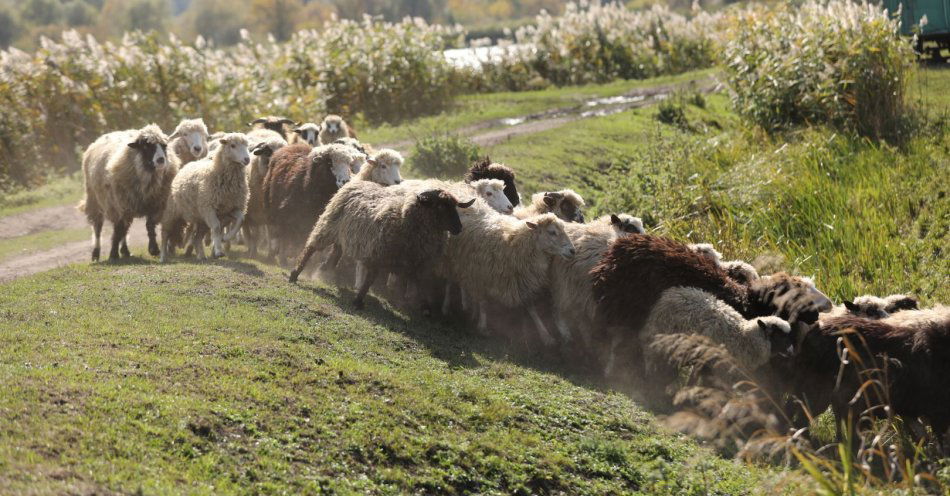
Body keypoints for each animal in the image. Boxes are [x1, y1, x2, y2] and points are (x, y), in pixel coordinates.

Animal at [79, 124, 171, 262]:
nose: (161, 160)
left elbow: (149, 226)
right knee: (98, 228)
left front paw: (154, 249)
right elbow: (118, 230)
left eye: (164, 145)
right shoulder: (119, 205)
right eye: (146, 146)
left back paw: (125, 251)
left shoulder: (154, 204)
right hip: (95, 200)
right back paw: (96, 253)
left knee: (125, 229)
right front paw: (113, 255)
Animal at [160, 134, 251, 262]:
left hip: (202, 220)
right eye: (232, 145)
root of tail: (185, 165)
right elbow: (217, 227)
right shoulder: (209, 207)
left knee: (197, 238)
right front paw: (218, 251)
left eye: (247, 145)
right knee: (165, 233)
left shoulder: (230, 208)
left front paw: (225, 238)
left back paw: (202, 256)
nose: (247, 159)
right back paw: (163, 256)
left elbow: (240, 220)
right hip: (171, 212)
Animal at [286, 180, 472, 308]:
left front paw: (423, 307)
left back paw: (326, 269)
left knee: (337, 250)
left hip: (344, 234)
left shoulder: (417, 265)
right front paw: (358, 301)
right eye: (440, 206)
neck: (404, 218)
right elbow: (370, 279)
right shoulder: (377, 254)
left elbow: (418, 286)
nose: (459, 228)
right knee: (311, 248)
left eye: (455, 207)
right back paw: (295, 273)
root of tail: (357, 182)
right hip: (327, 226)